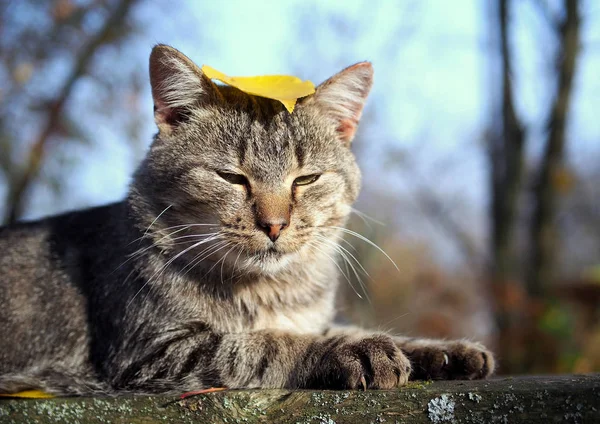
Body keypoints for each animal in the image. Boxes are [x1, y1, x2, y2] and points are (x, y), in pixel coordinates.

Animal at [0, 44, 492, 396]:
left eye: (306, 178)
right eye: (232, 177)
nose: (274, 225)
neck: (274, 290)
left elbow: (348, 328)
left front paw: (443, 352)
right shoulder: (155, 351)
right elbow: (268, 344)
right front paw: (355, 350)